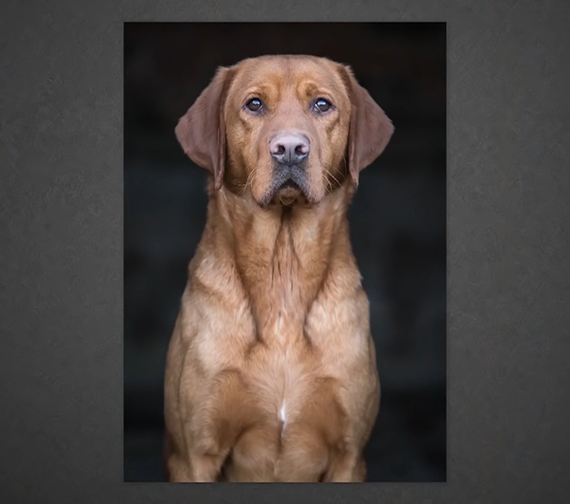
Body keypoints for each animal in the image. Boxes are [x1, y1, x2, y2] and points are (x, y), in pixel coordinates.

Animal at [164, 53, 392, 482]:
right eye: (254, 104)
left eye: (322, 104)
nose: (289, 148)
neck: (283, 269)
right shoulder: (193, 455)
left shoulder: (349, 456)